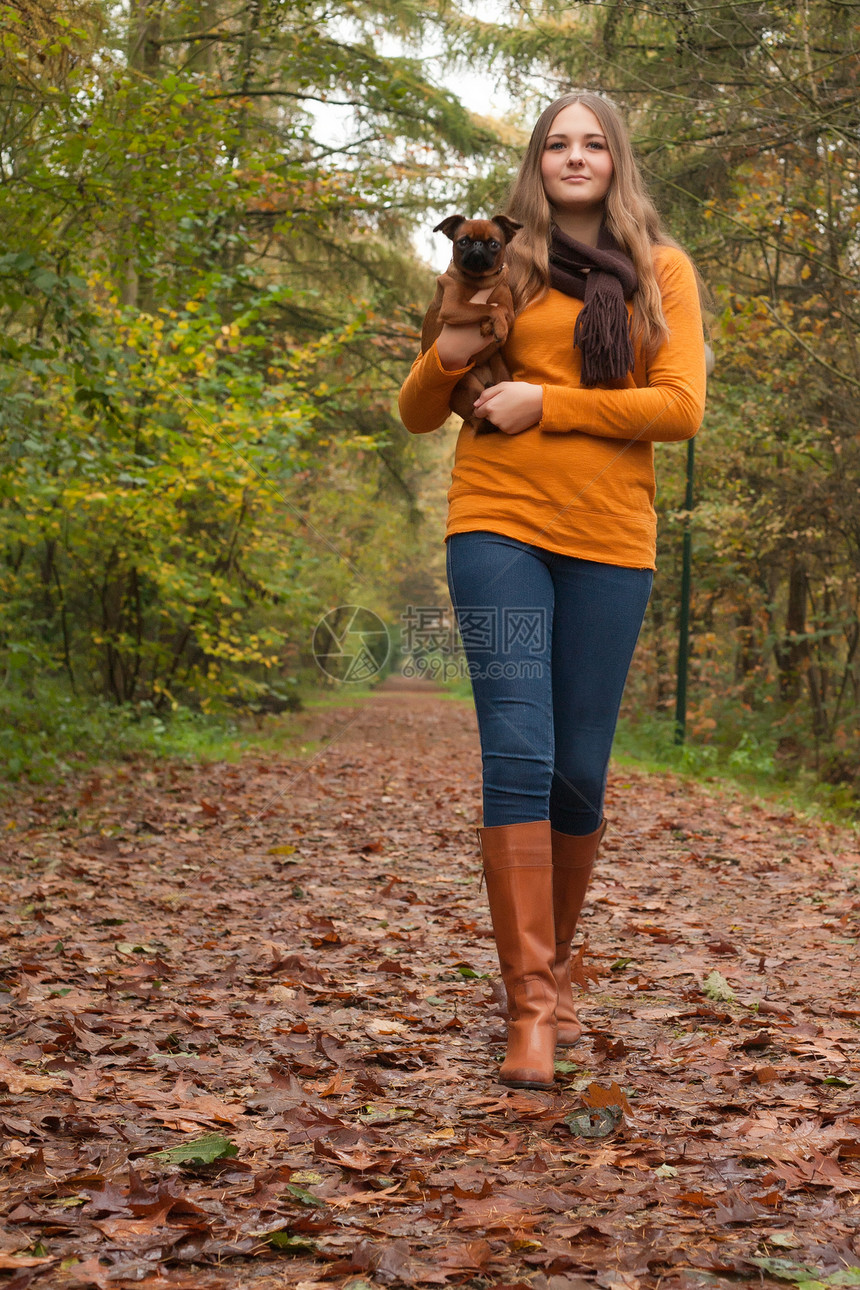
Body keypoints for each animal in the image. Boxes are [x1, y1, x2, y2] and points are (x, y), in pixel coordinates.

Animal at [420, 211, 520, 433]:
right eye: (463, 242)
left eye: (494, 244)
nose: (477, 245)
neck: (479, 281)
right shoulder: (452, 307)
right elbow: (486, 307)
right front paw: (492, 325)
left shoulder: (510, 312)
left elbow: (498, 308)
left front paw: (492, 326)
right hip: (467, 384)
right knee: (479, 416)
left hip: (500, 368)